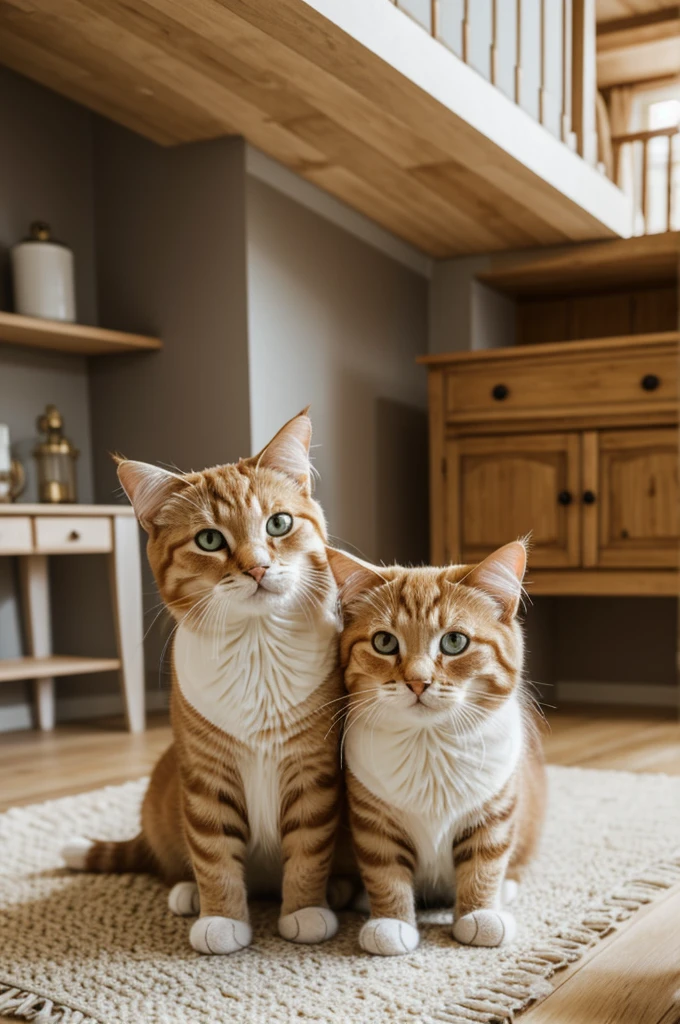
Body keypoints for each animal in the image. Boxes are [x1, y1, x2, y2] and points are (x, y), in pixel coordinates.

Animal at [61, 411, 342, 954]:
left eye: (279, 523)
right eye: (209, 540)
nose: (257, 567)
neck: (257, 648)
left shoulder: (313, 771)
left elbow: (309, 848)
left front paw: (305, 910)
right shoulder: (206, 775)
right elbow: (214, 855)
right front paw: (221, 918)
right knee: (173, 860)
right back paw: (187, 892)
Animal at [327, 540, 544, 954]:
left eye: (455, 641)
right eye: (384, 642)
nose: (417, 680)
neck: (428, 745)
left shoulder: (494, 810)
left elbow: (484, 863)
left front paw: (480, 914)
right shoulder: (372, 817)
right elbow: (384, 869)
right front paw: (391, 922)